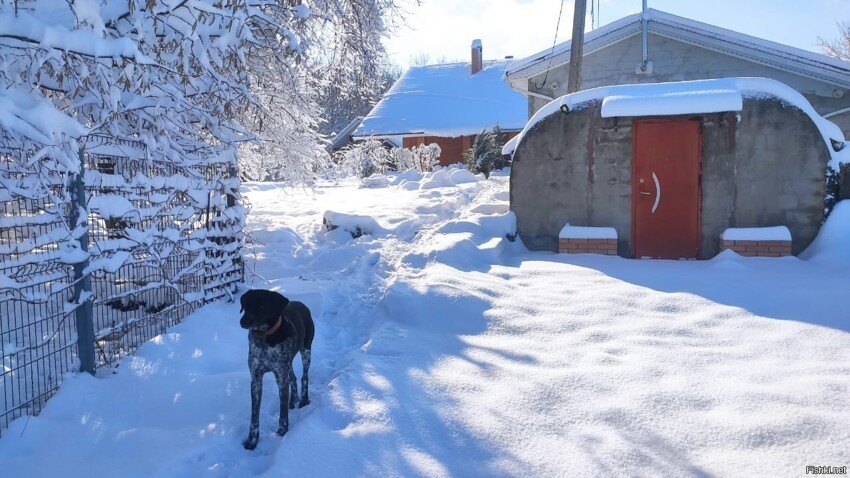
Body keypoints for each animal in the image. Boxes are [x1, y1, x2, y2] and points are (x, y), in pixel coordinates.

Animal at [237, 290, 314, 450]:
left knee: (304, 377)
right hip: (287, 363)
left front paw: (282, 432)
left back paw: (304, 400)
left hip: (306, 350)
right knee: (293, 378)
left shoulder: (280, 377)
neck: (264, 337)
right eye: (245, 305)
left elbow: (282, 410)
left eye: (261, 306)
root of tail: (301, 303)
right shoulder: (256, 379)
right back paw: (293, 401)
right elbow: (254, 416)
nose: (243, 321)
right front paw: (252, 440)